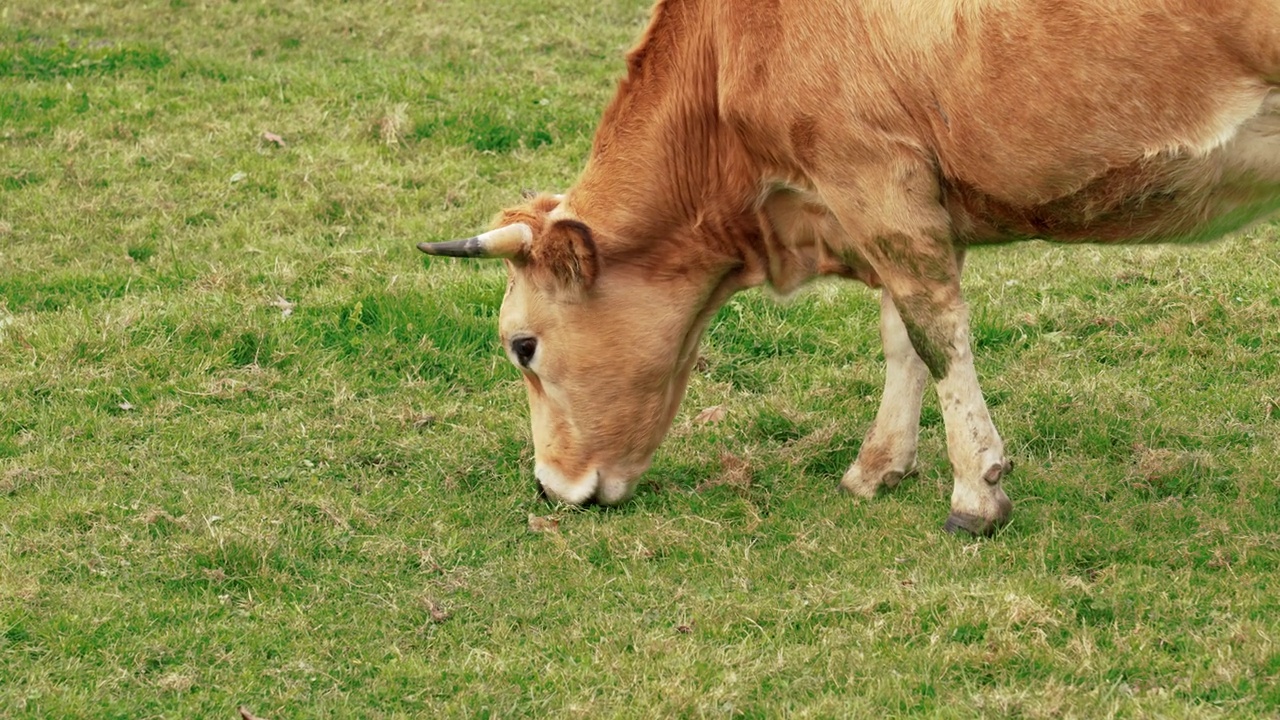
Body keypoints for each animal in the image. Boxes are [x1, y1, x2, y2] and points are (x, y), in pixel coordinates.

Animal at [419, 0, 1280, 532]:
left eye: (522, 346)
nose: (549, 486)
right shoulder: (908, 203)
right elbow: (904, 336)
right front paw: (880, 467)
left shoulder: (875, 177)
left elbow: (935, 334)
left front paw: (976, 495)